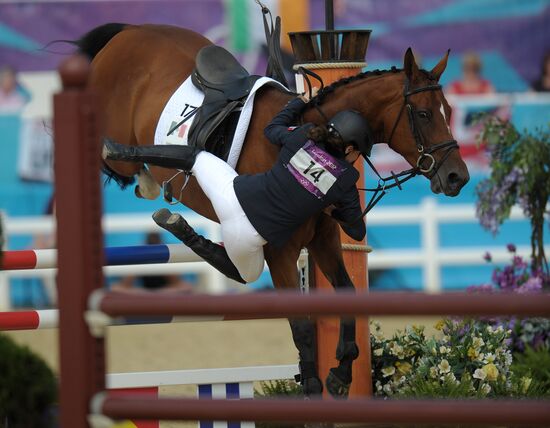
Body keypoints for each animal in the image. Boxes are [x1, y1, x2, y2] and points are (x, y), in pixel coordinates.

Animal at [74, 22, 470, 398]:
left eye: (450, 112)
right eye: (423, 114)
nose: (458, 177)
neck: (316, 134)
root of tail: (130, 32)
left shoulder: (323, 239)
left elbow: (345, 295)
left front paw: (341, 374)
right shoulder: (280, 251)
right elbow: (302, 326)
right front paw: (312, 389)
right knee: (111, 160)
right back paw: (137, 173)